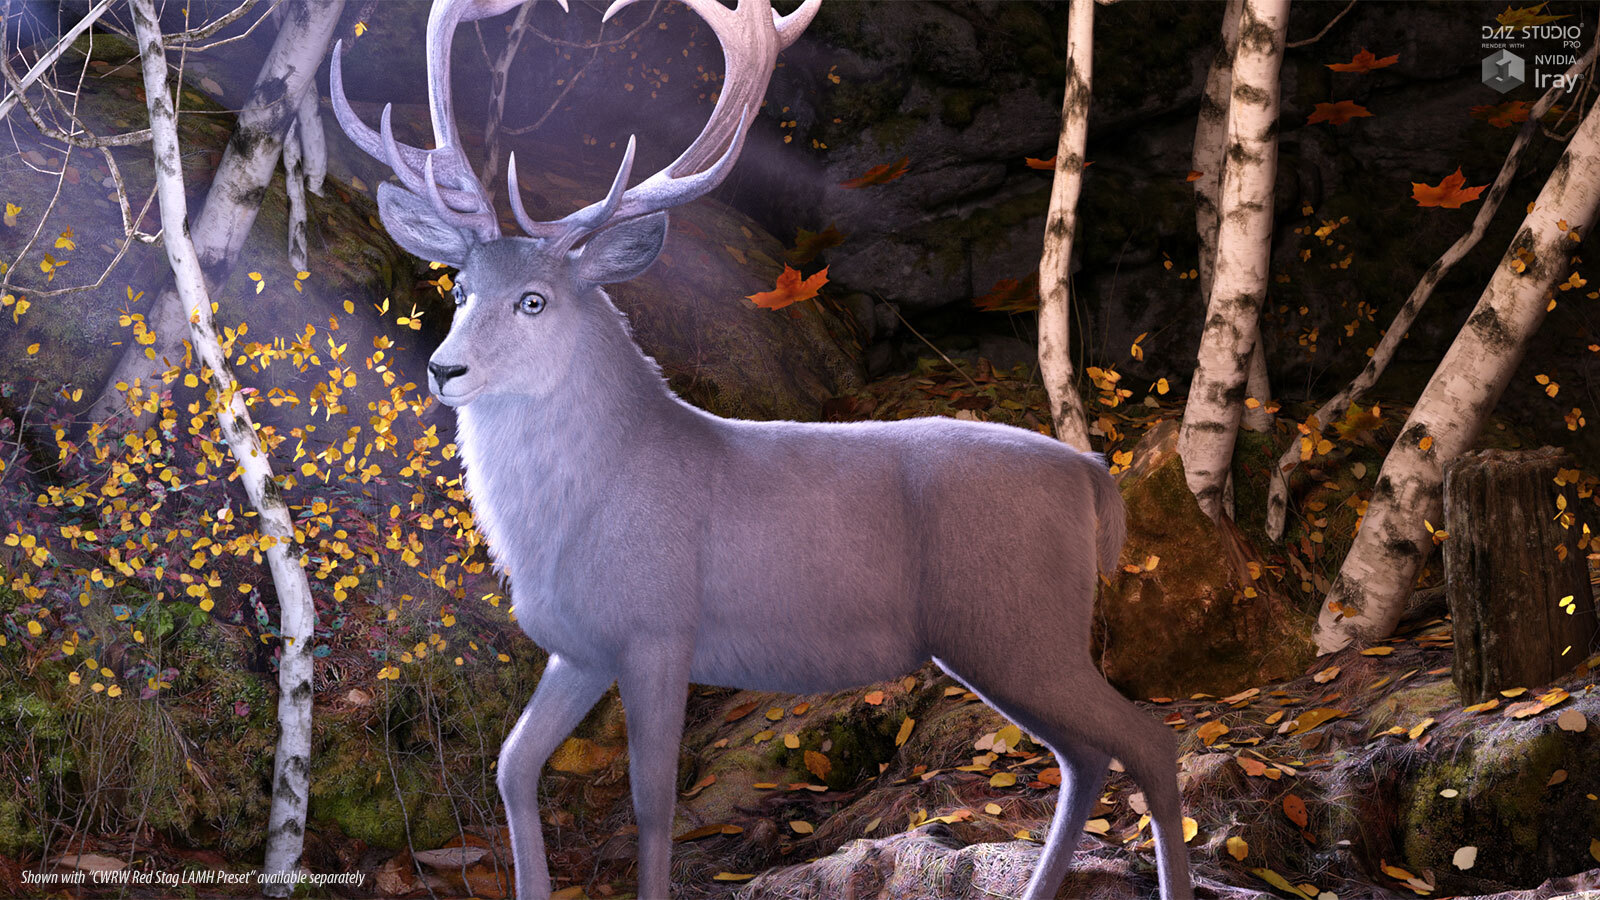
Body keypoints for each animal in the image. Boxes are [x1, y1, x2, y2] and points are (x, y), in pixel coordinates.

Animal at [330, 1, 1193, 898]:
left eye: (534, 300)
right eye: (462, 288)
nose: (443, 367)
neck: (581, 511)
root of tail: (1093, 477)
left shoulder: (659, 626)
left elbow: (651, 803)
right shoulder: (580, 646)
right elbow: (511, 766)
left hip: (1019, 621)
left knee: (1149, 740)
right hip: (1001, 637)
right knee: (1087, 755)